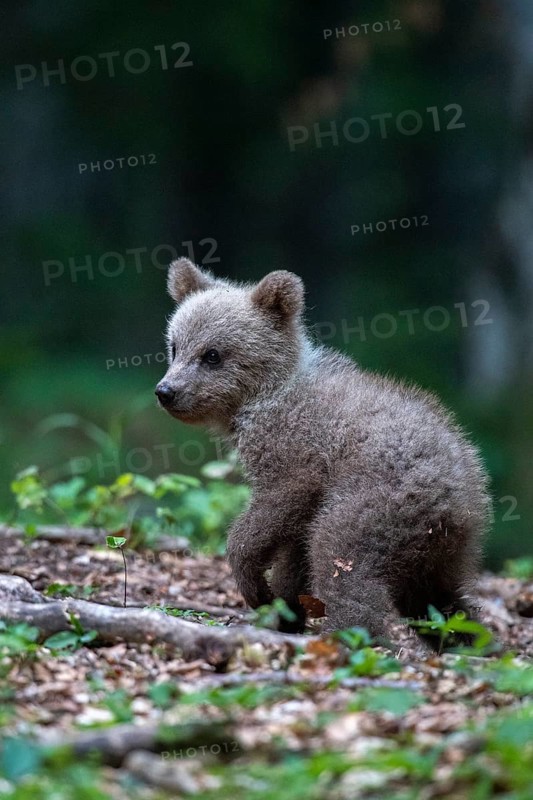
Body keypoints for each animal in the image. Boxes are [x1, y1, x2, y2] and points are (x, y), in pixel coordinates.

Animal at [155, 258, 492, 643]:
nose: (167, 391)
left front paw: (255, 586)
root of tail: (462, 496)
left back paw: (348, 635)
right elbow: (292, 555)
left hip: (377, 502)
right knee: (441, 599)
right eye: (174, 346)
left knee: (341, 559)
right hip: (440, 549)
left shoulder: (298, 456)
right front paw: (285, 609)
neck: (260, 400)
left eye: (212, 354)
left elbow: (273, 512)